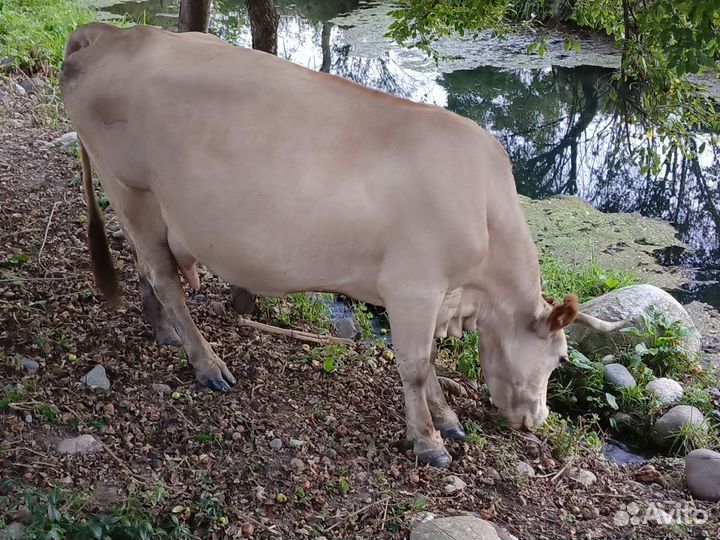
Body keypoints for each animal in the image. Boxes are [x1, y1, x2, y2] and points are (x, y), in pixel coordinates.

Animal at [60, 23, 623, 467]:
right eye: (557, 358)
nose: (536, 419)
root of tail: (110, 33)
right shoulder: (413, 286)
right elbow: (415, 367)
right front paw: (429, 441)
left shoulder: (440, 296)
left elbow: (430, 360)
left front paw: (448, 419)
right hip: (130, 187)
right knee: (165, 278)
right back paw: (207, 364)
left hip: (146, 208)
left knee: (147, 267)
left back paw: (165, 333)